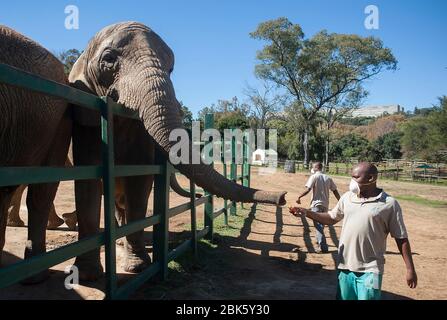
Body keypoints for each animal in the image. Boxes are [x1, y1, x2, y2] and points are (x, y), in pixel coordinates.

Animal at [69, 21, 288, 280]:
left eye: (171, 68)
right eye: (109, 59)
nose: (284, 197)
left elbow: (140, 182)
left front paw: (137, 266)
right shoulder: (86, 118)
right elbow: (88, 180)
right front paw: (88, 275)